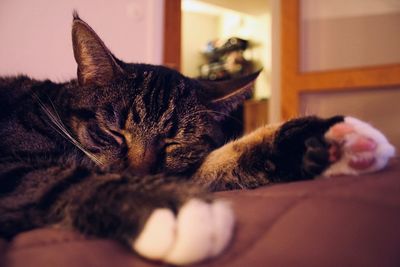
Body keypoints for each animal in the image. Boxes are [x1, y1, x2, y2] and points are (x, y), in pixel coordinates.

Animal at [0, 13, 394, 266]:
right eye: (114, 133)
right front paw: (170, 208)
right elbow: (68, 177)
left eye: (174, 144)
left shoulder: (187, 167)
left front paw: (325, 143)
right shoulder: (12, 167)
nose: (139, 175)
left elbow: (223, 159)